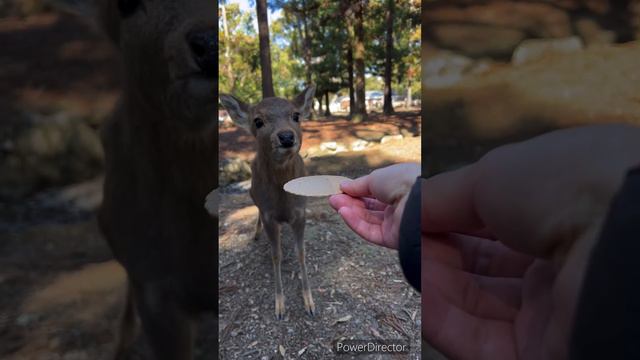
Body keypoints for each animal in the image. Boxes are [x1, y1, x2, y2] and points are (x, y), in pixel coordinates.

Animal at [220, 85, 318, 320]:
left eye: (296, 115)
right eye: (258, 121)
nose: (286, 136)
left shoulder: (301, 212)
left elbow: (301, 253)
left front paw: (310, 303)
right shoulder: (268, 216)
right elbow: (276, 256)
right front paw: (280, 307)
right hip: (254, 196)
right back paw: (255, 235)